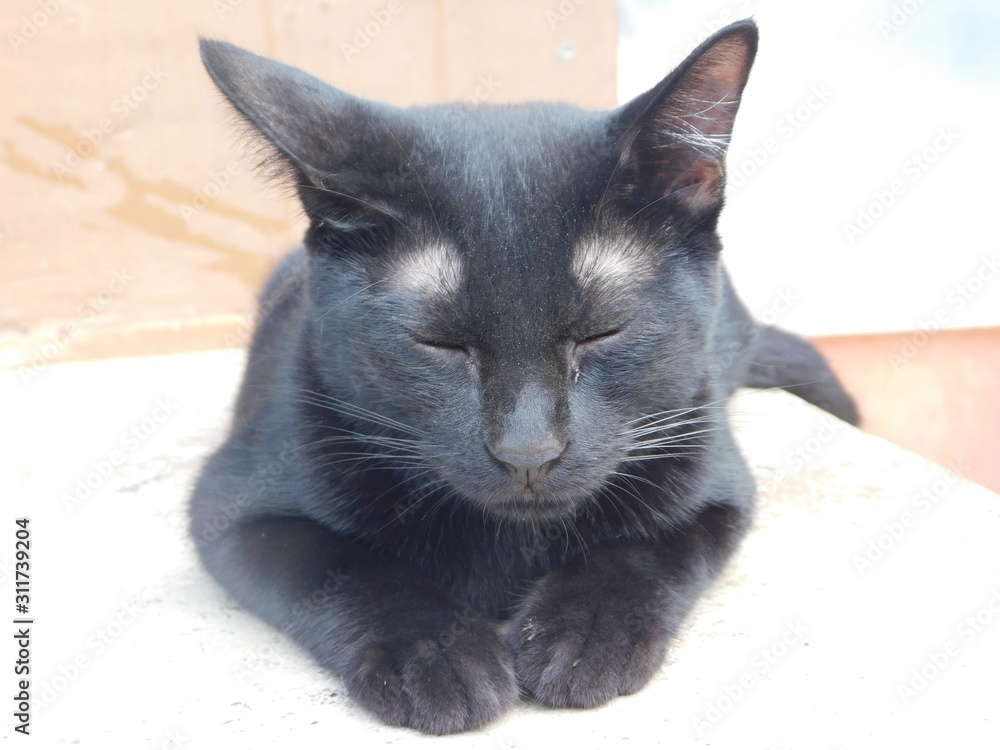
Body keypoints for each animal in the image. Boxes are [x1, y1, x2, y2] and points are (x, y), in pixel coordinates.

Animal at [189, 20, 860, 736]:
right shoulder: (233, 504)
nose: (528, 453)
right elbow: (343, 564)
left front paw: (582, 633)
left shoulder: (714, 483)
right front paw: (437, 652)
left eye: (601, 332)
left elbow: (641, 547)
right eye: (440, 343)